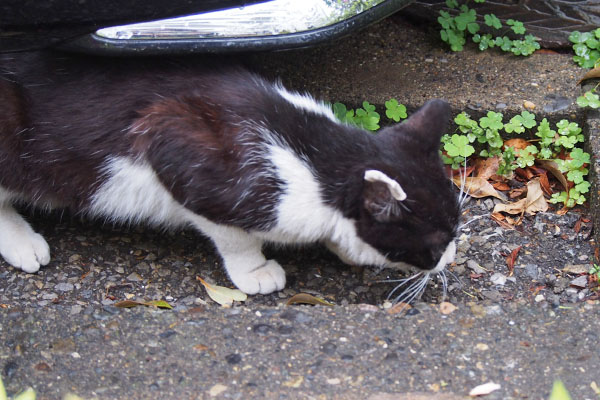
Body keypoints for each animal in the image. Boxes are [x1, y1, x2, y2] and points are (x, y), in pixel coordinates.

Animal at [1, 50, 460, 294]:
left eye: (456, 231)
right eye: (437, 243)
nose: (452, 257)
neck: (313, 154)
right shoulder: (176, 143)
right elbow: (234, 233)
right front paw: (255, 270)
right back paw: (22, 241)